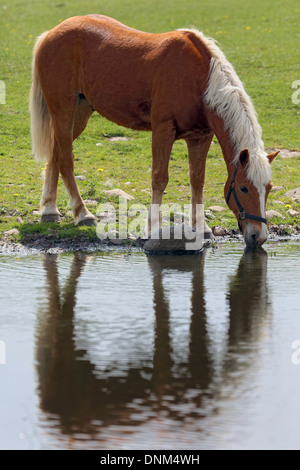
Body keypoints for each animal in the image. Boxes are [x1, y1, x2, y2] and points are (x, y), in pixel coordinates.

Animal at [29, 14, 278, 248]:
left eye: (268, 188)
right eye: (244, 188)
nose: (258, 236)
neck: (199, 79)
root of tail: (51, 34)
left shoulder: (201, 137)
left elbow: (197, 180)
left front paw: (202, 227)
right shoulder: (163, 131)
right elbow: (159, 178)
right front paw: (153, 228)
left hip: (80, 113)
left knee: (56, 154)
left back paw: (49, 209)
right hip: (63, 111)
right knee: (66, 160)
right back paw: (82, 214)